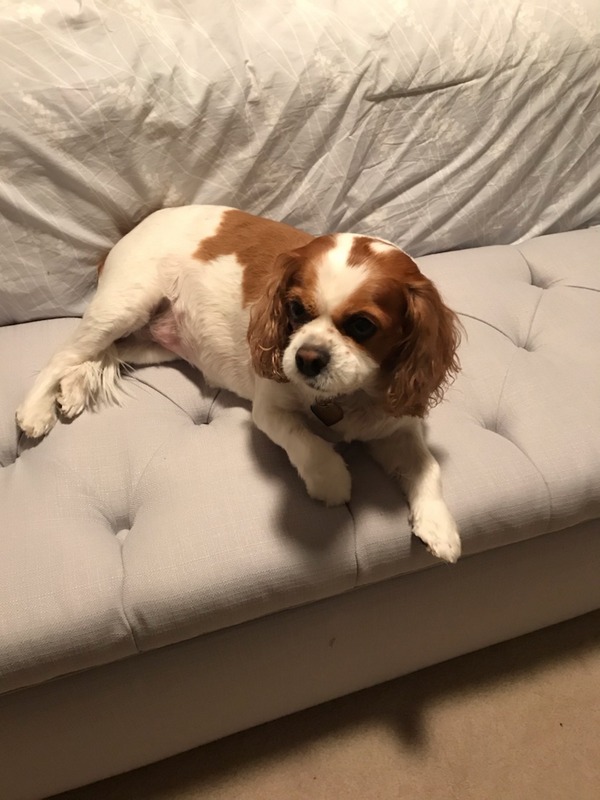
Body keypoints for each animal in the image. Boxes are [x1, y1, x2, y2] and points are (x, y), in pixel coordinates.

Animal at [16, 205, 462, 562]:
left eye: (363, 326)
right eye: (295, 309)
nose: (306, 359)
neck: (347, 395)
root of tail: (134, 229)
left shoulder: (395, 426)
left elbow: (428, 467)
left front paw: (439, 525)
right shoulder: (269, 410)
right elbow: (307, 441)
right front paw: (330, 479)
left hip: (149, 344)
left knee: (100, 354)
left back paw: (73, 388)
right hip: (125, 304)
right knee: (62, 356)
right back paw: (35, 410)